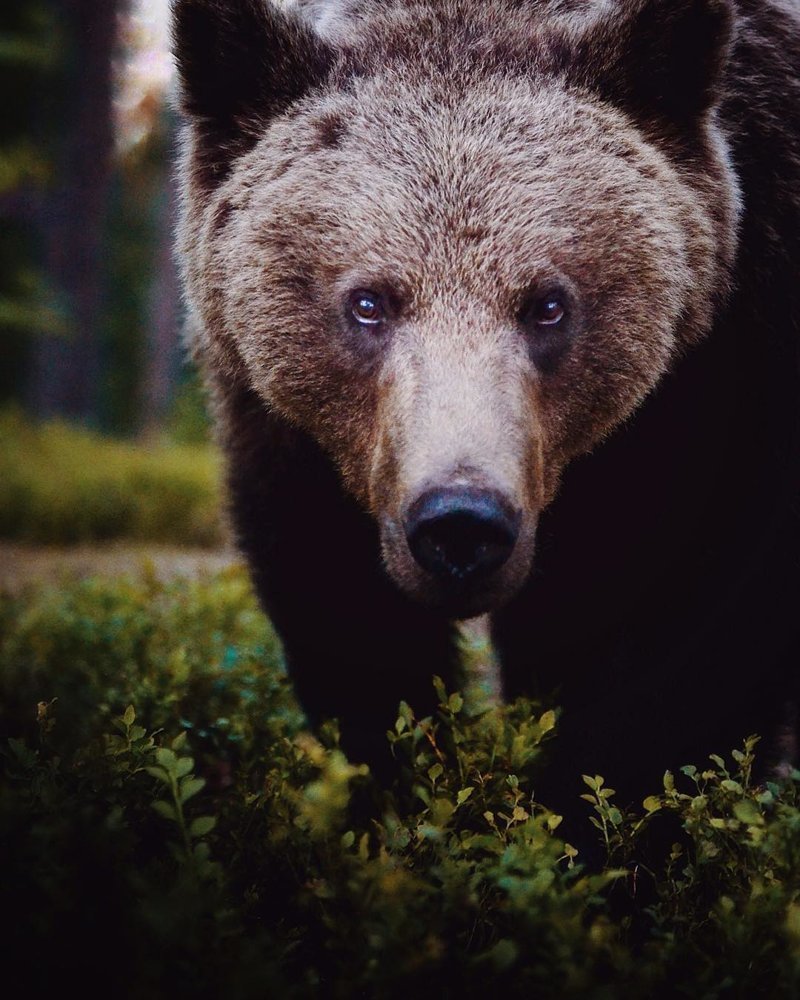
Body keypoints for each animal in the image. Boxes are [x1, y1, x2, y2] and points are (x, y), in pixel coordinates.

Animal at [170, 0, 800, 820]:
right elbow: (337, 596)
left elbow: (695, 626)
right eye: (368, 302)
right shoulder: (282, 425)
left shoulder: (733, 359)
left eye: (548, 304)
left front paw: (594, 810)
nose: (461, 522)